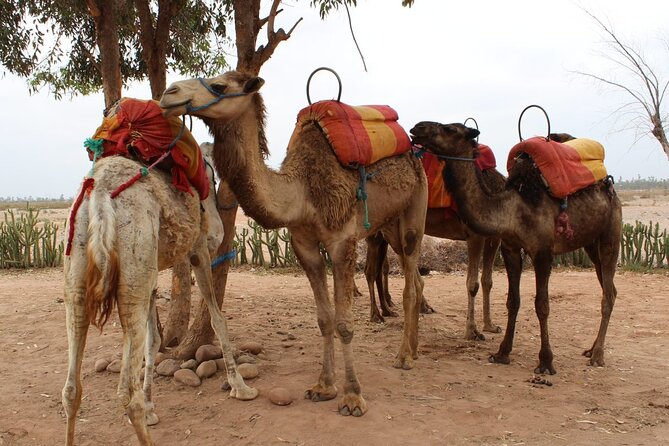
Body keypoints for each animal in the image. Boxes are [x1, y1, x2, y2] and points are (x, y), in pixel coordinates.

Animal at [62, 148, 258, 446]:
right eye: (212, 174)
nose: (217, 232)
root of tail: (100, 196)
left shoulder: (152, 269)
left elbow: (154, 340)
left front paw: (152, 407)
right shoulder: (197, 249)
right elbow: (218, 319)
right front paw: (241, 388)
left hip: (79, 266)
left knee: (71, 387)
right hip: (134, 260)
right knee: (126, 392)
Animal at [160, 71, 428, 417]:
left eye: (219, 86)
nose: (168, 93)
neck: (302, 193)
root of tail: (414, 151)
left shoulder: (342, 241)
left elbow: (344, 323)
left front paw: (353, 397)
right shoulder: (304, 244)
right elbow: (324, 319)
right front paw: (323, 386)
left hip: (415, 209)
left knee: (410, 280)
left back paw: (404, 356)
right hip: (389, 224)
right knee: (417, 281)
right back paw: (414, 350)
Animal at [409, 121, 621, 375]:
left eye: (451, 129)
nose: (417, 127)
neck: (512, 208)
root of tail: (609, 184)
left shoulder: (542, 252)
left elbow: (542, 305)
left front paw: (545, 361)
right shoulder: (509, 248)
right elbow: (513, 300)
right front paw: (502, 352)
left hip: (611, 234)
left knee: (608, 293)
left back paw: (597, 355)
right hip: (590, 244)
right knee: (610, 289)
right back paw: (591, 349)